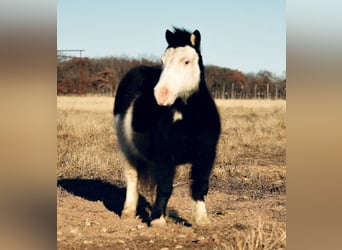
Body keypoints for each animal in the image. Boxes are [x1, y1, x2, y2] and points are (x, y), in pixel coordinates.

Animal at [114, 27, 222, 227]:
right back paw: (128, 211)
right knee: (132, 177)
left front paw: (202, 220)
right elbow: (164, 187)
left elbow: (200, 185)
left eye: (186, 61)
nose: (161, 94)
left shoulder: (206, 155)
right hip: (126, 148)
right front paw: (157, 221)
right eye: (163, 61)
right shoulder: (163, 156)